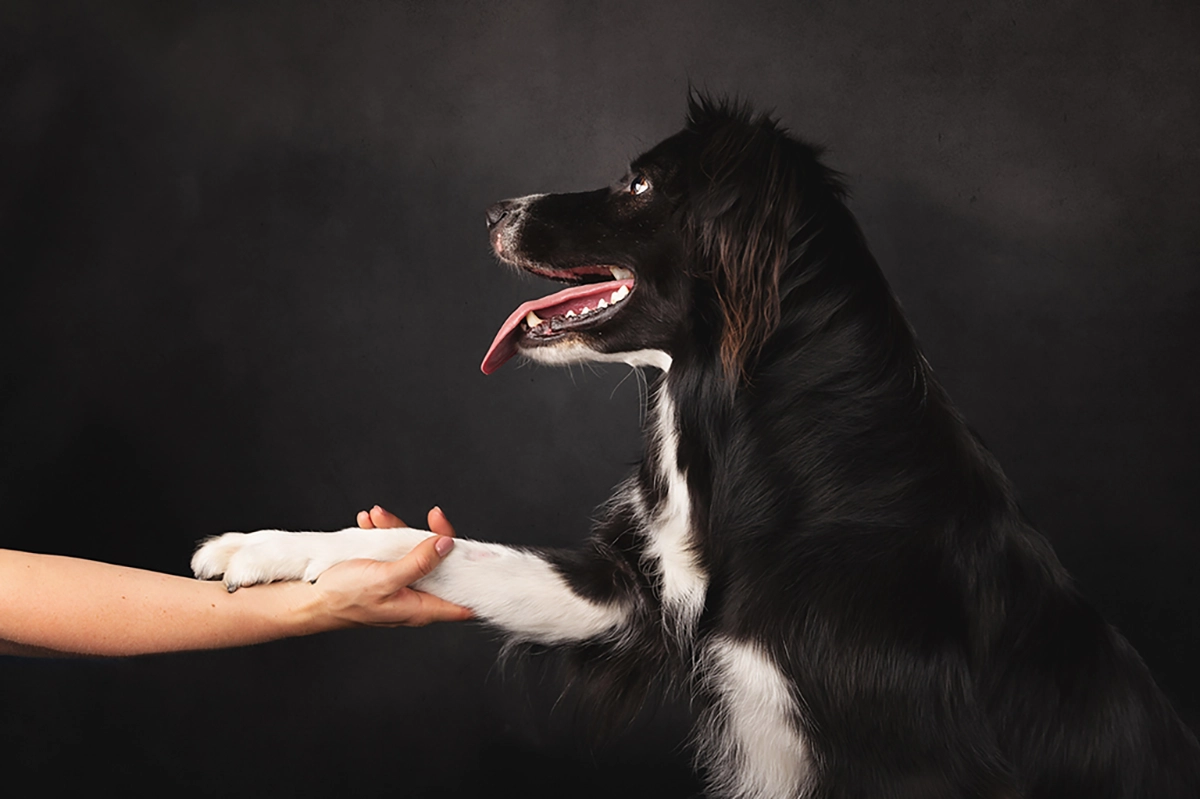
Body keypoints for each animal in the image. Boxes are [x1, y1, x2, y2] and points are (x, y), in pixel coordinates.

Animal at [192, 99, 1195, 796]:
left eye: (640, 186)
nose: (492, 209)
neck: (744, 428)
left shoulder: (908, 760)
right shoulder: (627, 594)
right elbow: (431, 544)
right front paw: (264, 547)